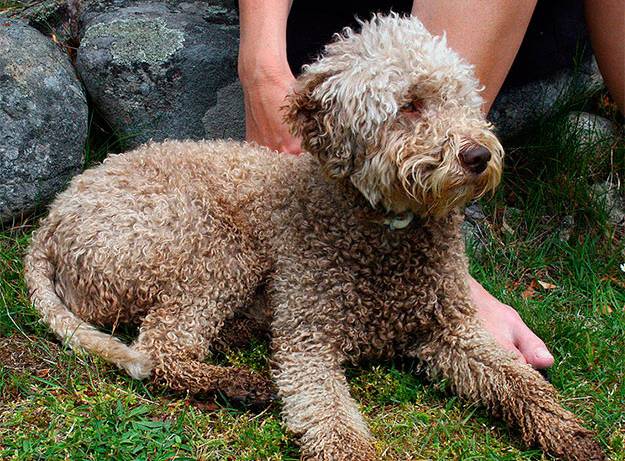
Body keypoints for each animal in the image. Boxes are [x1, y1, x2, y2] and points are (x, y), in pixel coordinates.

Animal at [25, 14, 604, 460]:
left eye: (464, 99)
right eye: (409, 105)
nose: (479, 156)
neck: (384, 231)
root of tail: (51, 222)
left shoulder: (454, 329)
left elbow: (519, 382)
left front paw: (569, 433)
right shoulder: (309, 342)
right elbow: (332, 422)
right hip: (217, 247)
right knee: (160, 349)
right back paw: (240, 381)